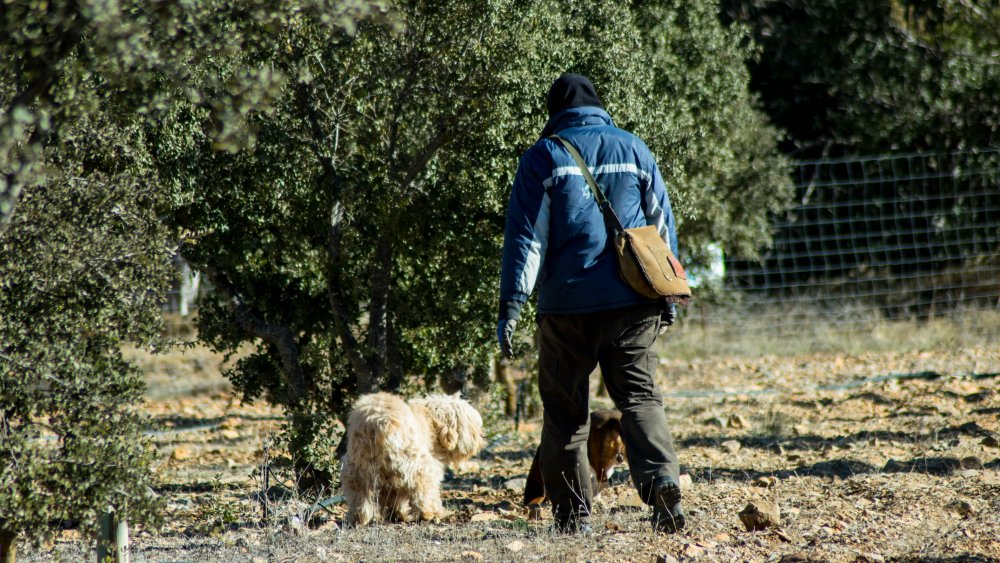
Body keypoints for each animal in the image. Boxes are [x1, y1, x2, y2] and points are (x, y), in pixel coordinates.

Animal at [340, 392, 484, 528]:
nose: (481, 439)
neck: (433, 422)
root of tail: (378, 421)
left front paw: (397, 515)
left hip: (356, 469)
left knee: (360, 495)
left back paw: (359, 518)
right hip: (418, 465)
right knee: (423, 491)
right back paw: (432, 513)